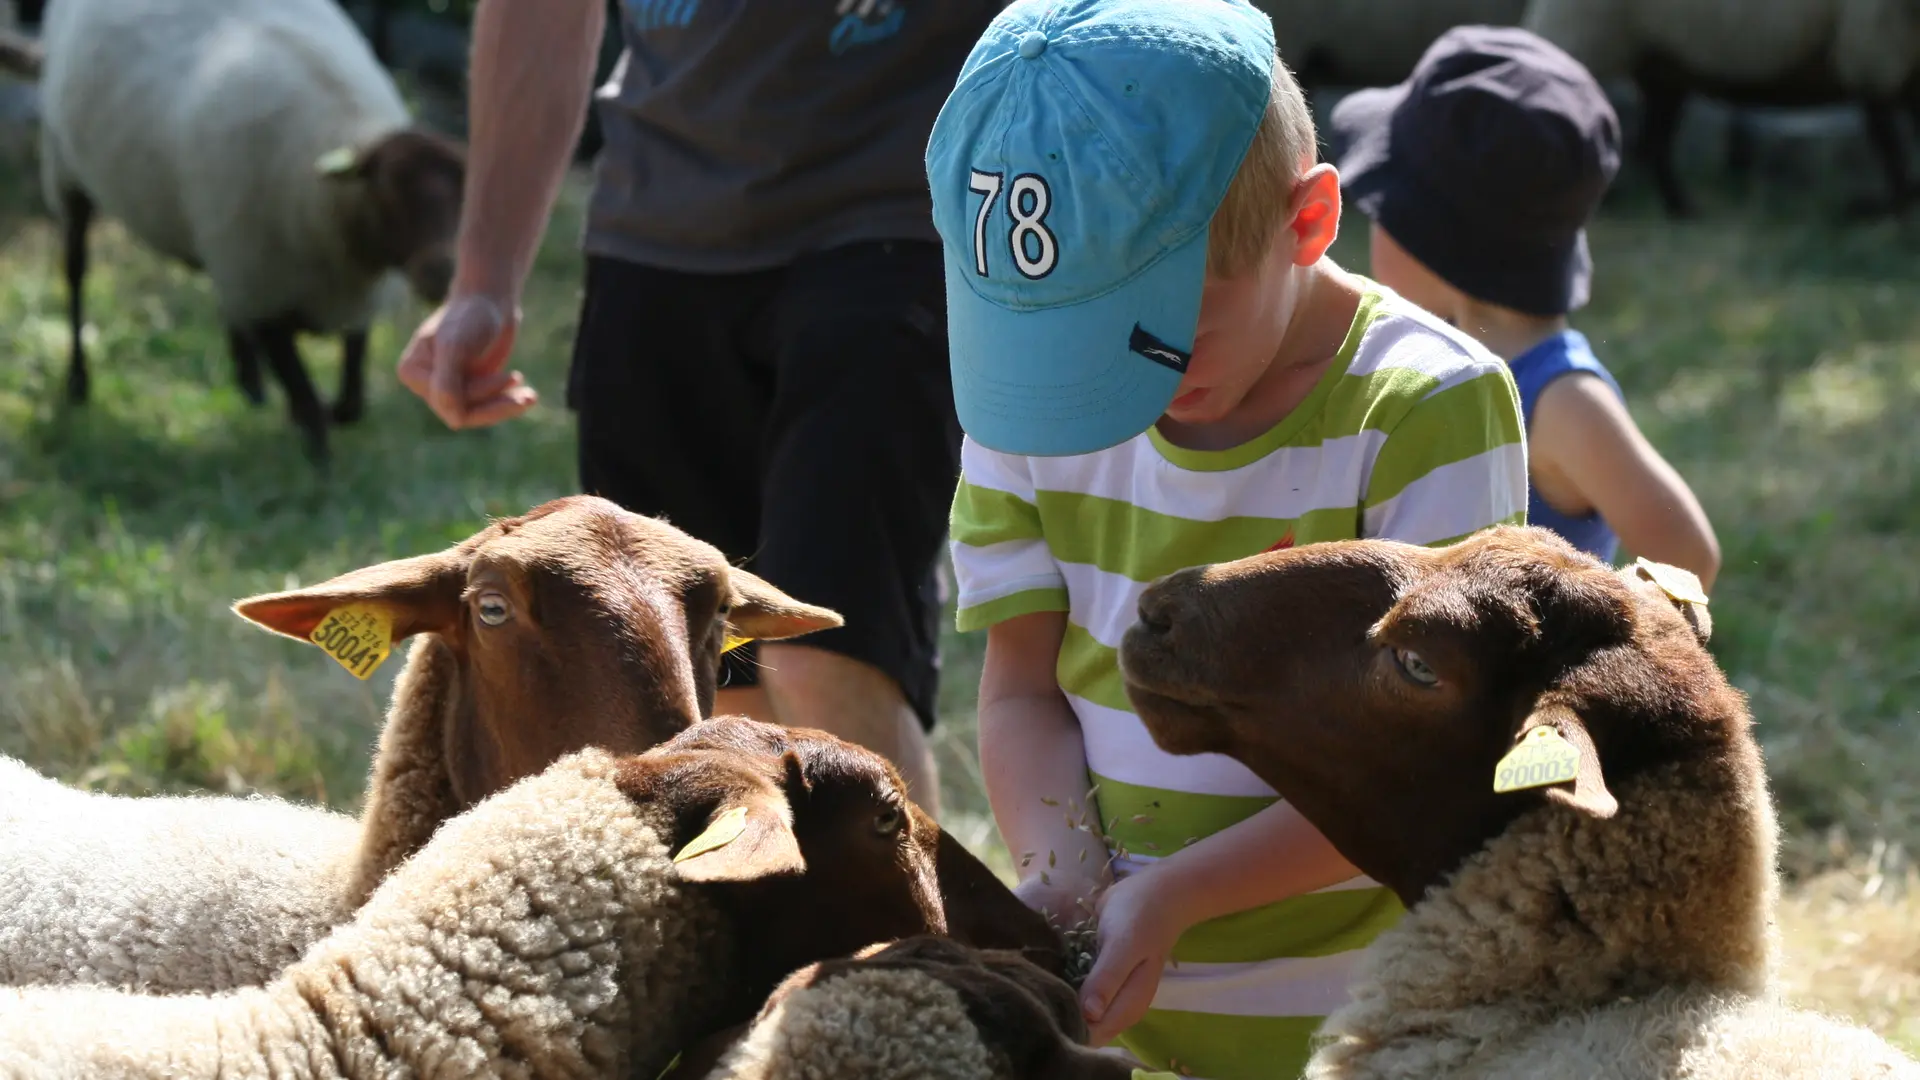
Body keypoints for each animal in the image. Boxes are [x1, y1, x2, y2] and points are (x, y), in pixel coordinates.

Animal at [0, 0, 464, 463]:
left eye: (464, 196)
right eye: (386, 190)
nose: (443, 274)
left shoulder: (351, 303)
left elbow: (350, 405)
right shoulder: (264, 294)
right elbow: (309, 407)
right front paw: (319, 470)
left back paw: (250, 383)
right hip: (66, 171)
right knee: (76, 271)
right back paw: (78, 383)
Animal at [1520, 0, 1920, 216]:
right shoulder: (1873, 56)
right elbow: (1888, 143)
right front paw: (1892, 210)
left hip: (1664, 67)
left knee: (1655, 141)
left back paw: (1681, 209)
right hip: (1584, 35)